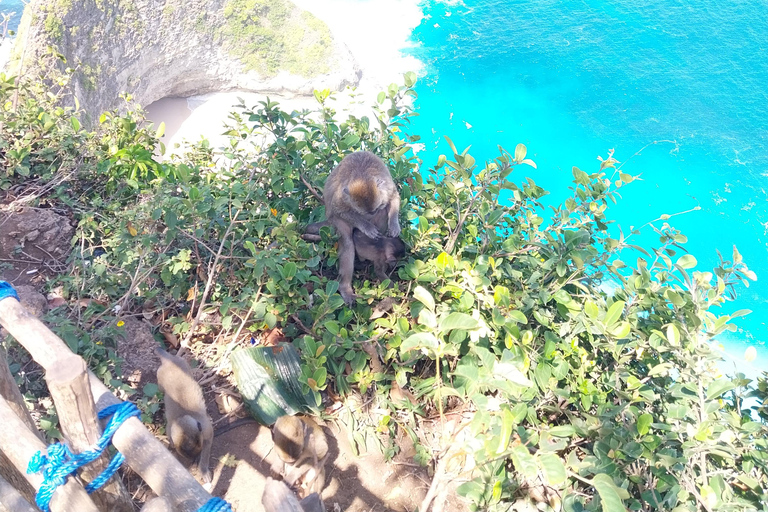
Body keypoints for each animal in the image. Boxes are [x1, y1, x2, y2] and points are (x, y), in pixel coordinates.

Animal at [154, 346, 213, 486]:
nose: (194, 458)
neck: (182, 416)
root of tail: (170, 361)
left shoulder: (206, 429)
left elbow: (208, 442)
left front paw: (203, 468)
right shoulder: (170, 433)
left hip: (182, 365)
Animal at [304, 152, 404, 304]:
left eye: (374, 209)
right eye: (363, 212)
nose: (370, 216)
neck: (362, 176)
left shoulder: (386, 187)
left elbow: (393, 198)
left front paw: (394, 225)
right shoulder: (343, 197)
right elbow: (340, 210)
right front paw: (366, 226)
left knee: (383, 213)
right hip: (335, 221)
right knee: (347, 242)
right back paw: (345, 288)